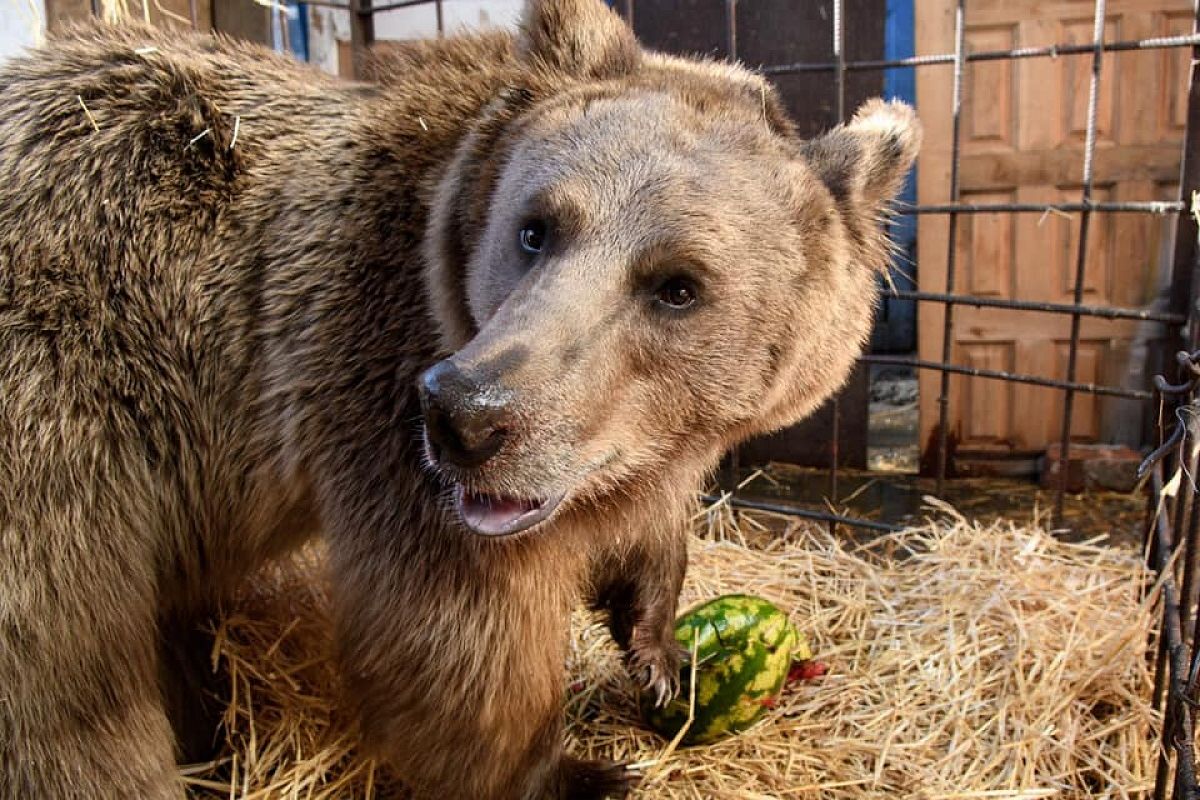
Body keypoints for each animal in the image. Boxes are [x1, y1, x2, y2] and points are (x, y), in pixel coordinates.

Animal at [0, 0, 916, 796]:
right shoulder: (372, 375)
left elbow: (646, 530)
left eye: (677, 285)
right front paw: (573, 771)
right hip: (61, 400)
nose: (467, 414)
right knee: (71, 673)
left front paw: (661, 653)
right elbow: (456, 635)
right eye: (536, 227)